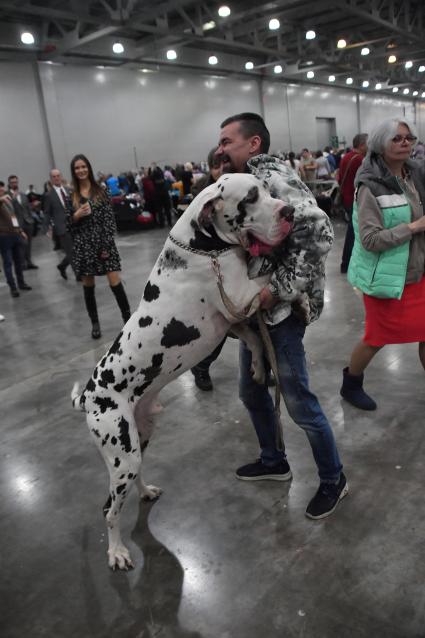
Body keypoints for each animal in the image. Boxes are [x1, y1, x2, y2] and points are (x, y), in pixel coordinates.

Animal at [70, 172, 294, 572]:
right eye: (250, 198)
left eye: (267, 189)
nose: (289, 211)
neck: (202, 245)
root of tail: (88, 397)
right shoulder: (239, 298)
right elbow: (268, 283)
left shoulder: (233, 320)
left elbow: (254, 337)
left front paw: (257, 365)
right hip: (121, 451)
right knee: (110, 511)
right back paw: (116, 552)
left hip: (138, 440)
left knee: (131, 481)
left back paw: (145, 492)